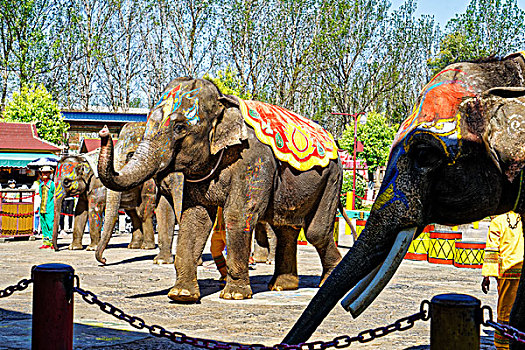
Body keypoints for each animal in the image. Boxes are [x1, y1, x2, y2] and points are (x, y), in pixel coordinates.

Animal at [97, 78, 352, 302]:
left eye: (180, 127)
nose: (103, 132)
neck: (223, 103)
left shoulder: (253, 159)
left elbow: (238, 214)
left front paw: (234, 295)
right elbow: (195, 217)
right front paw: (181, 295)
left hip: (332, 178)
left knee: (315, 232)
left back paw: (327, 282)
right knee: (286, 228)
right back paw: (281, 286)